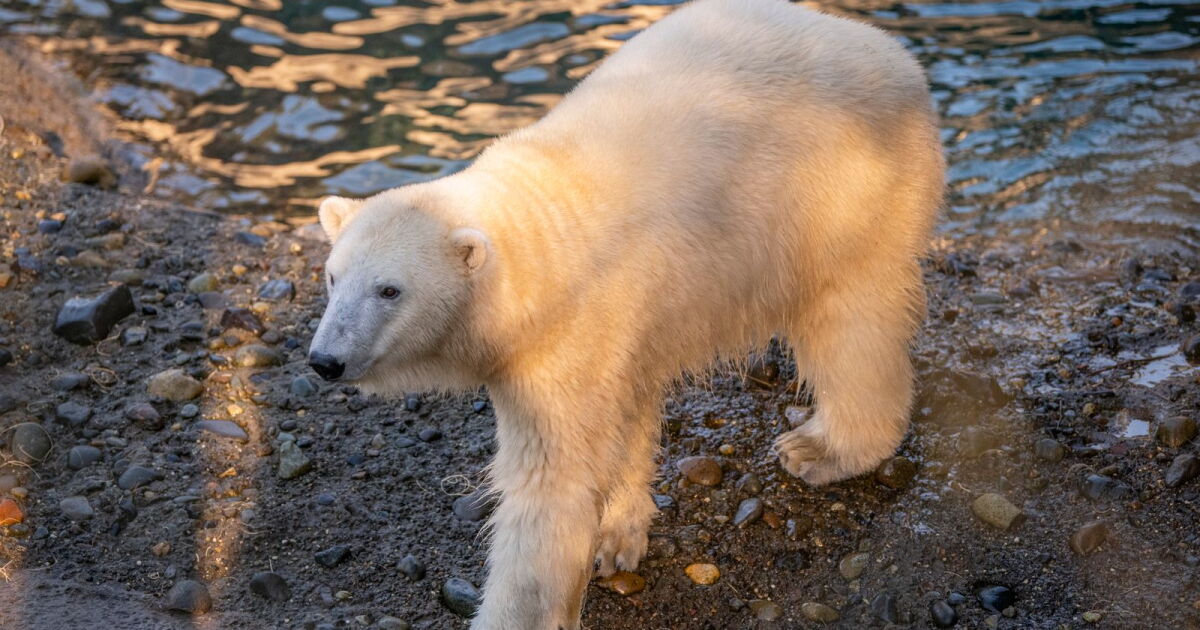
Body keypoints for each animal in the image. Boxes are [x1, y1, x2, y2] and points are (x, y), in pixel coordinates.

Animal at [307, 0, 944, 627]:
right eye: (333, 277)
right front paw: (617, 535)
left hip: (840, 195)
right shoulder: (620, 329)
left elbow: (549, 487)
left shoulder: (567, 338)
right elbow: (624, 420)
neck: (543, 245)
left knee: (850, 321)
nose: (324, 360)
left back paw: (822, 449)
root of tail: (898, 58)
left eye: (389, 290)